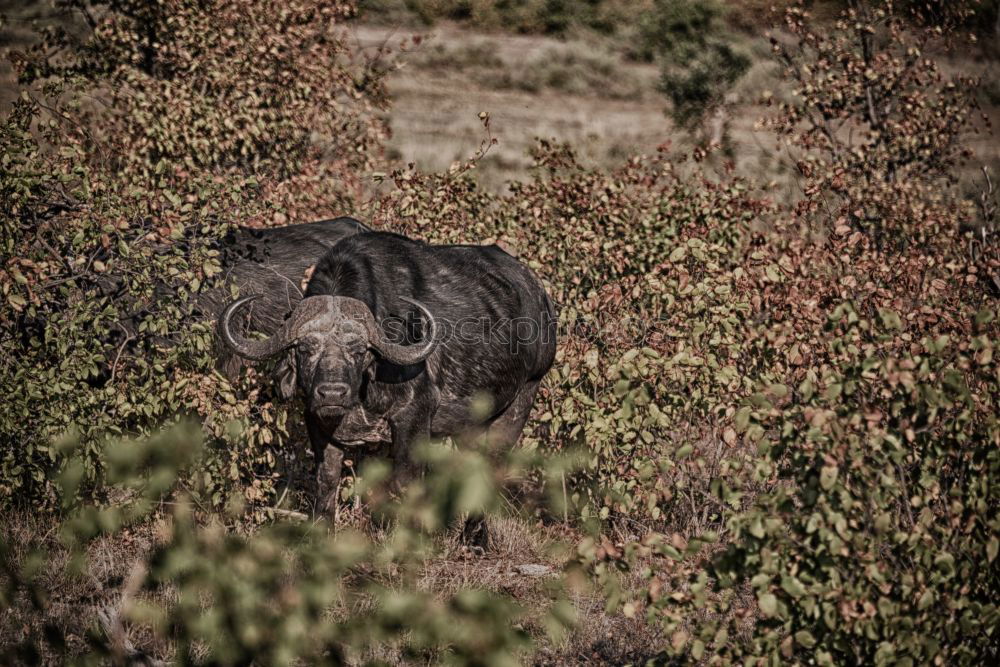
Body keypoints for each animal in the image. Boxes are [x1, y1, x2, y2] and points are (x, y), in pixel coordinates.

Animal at [219, 231, 560, 516]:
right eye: (305, 348)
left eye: (359, 350)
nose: (332, 393)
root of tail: (540, 297)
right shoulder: (317, 421)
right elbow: (326, 483)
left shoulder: (414, 417)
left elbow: (406, 484)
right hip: (473, 424)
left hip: (522, 399)